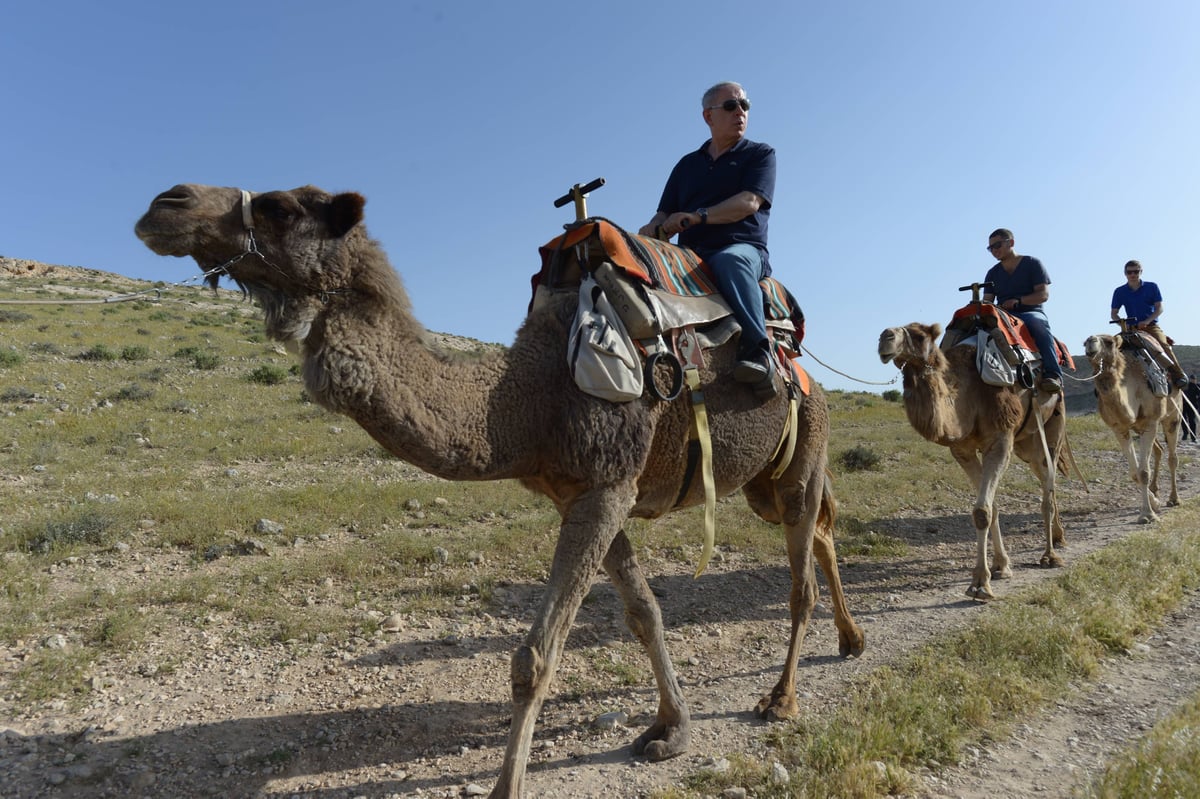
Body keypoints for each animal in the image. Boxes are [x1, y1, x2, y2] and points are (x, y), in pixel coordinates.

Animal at [133, 182, 864, 796]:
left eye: (281, 208)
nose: (165, 203)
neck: (527, 396)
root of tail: (801, 360)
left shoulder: (605, 486)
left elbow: (535, 656)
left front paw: (507, 786)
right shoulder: (591, 492)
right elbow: (644, 614)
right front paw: (670, 727)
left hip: (802, 449)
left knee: (800, 574)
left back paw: (782, 698)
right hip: (764, 481)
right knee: (821, 531)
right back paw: (850, 641)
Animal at [873, 321, 1070, 595]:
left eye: (920, 336)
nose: (885, 337)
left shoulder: (1001, 439)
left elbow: (982, 510)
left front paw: (979, 584)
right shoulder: (962, 450)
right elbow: (991, 507)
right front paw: (1000, 566)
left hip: (1054, 422)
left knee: (1048, 486)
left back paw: (1050, 555)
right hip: (1026, 443)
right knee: (1044, 478)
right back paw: (1059, 538)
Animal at [1080, 331, 1180, 523]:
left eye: (1109, 342)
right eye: (1083, 343)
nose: (1090, 341)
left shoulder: (1150, 421)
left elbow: (1144, 472)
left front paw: (1147, 515)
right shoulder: (1119, 428)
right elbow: (1135, 473)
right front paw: (1154, 503)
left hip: (1172, 415)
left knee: (1172, 457)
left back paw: (1174, 499)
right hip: (1140, 428)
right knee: (1159, 451)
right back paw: (1156, 490)